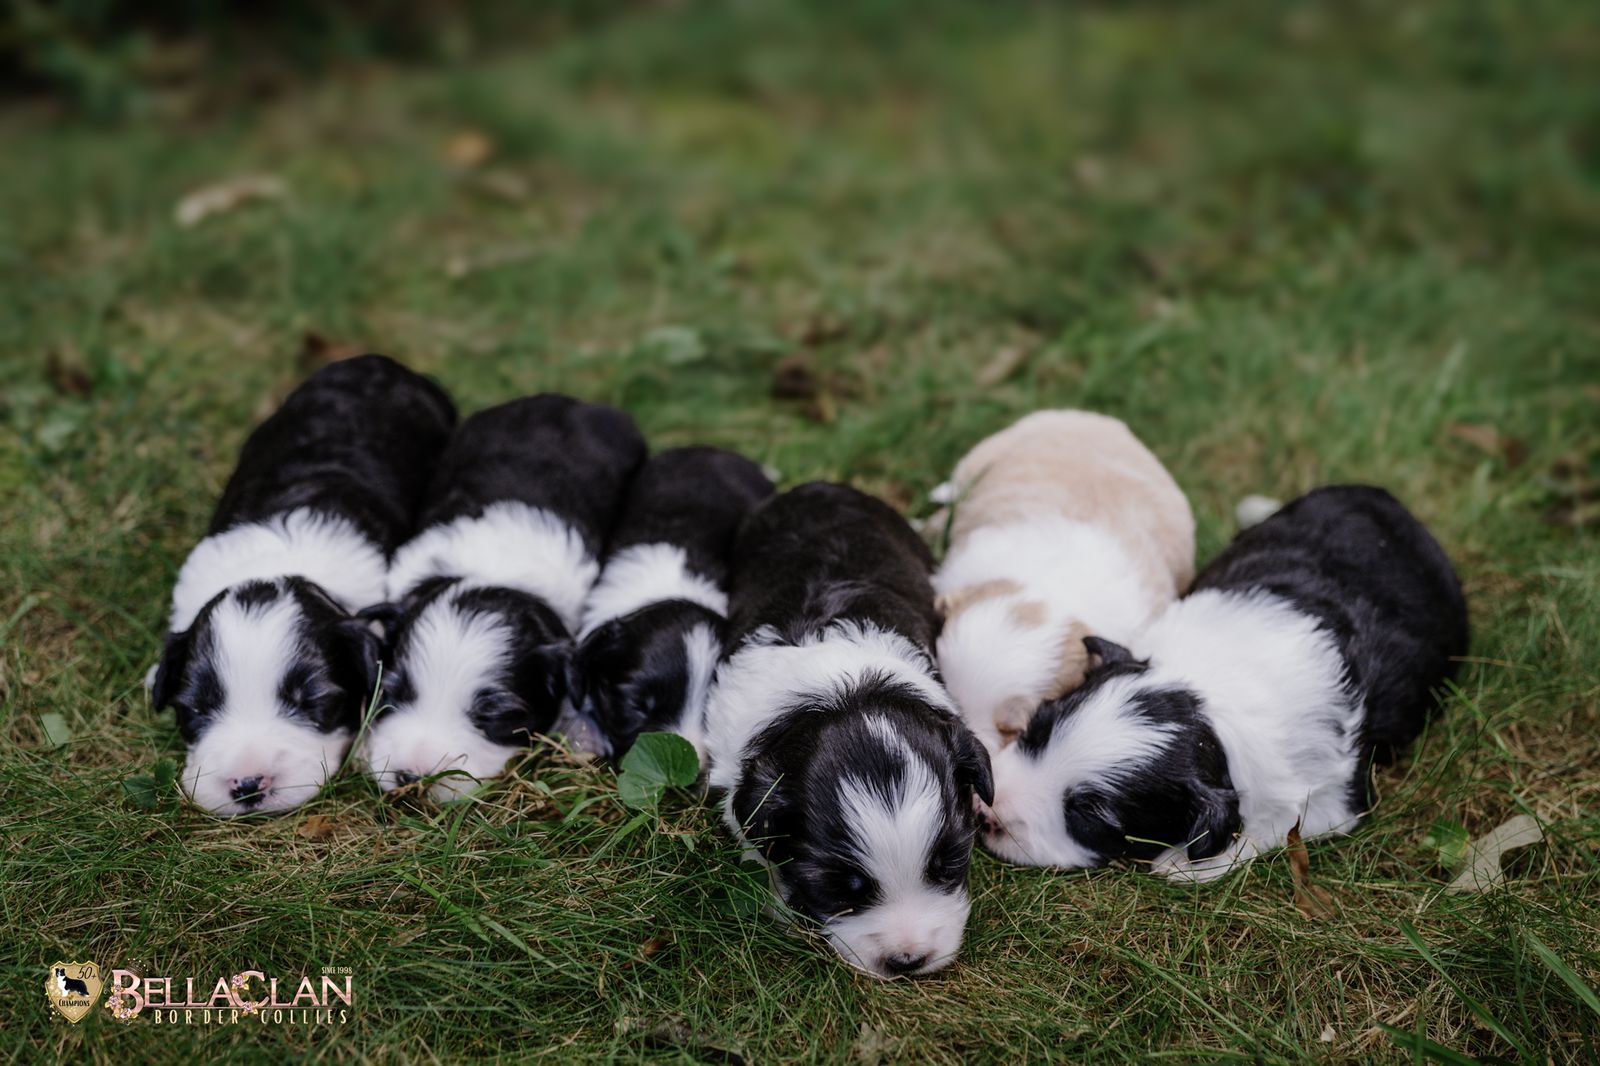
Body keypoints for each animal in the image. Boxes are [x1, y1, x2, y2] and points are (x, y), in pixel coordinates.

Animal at [980, 485, 1468, 880]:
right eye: (1035, 729)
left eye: (1089, 819)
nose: (988, 814)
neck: (1213, 697)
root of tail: (1389, 500)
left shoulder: (1336, 797)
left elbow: (1274, 823)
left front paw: (1183, 863)